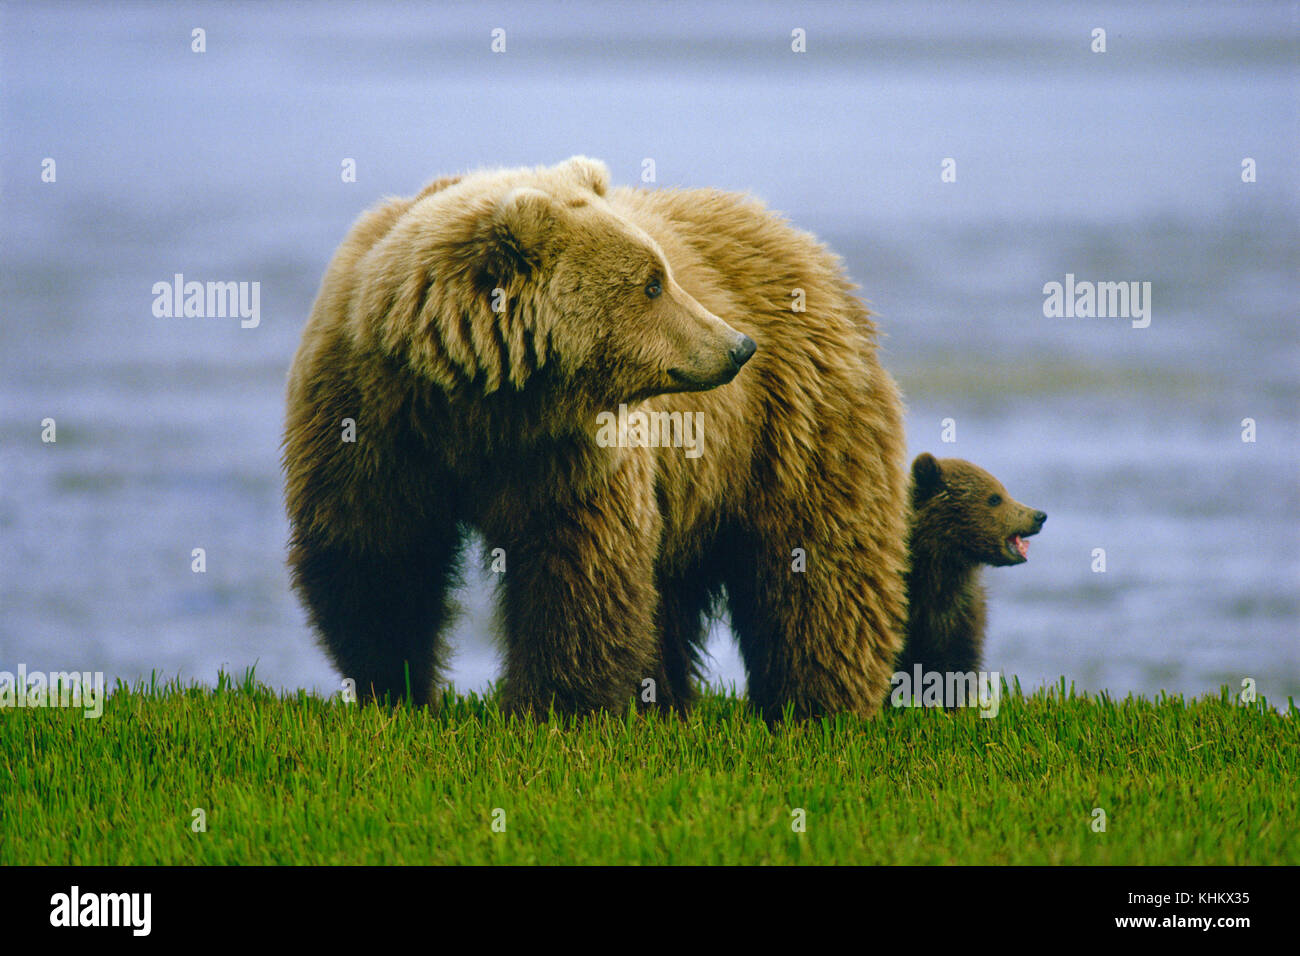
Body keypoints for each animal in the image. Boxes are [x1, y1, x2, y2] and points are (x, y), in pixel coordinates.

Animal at [283, 158, 904, 717]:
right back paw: (666, 701)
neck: (480, 405)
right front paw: (395, 690)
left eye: (665, 274)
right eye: (653, 284)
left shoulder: (572, 451)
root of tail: (808, 244)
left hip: (793, 422)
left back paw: (815, 704)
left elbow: (579, 560)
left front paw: (553, 706)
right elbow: (378, 552)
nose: (738, 346)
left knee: (818, 565)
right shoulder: (371, 419)